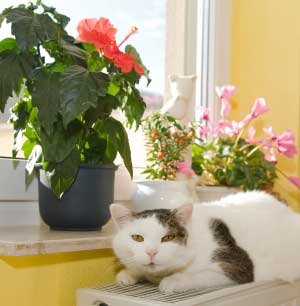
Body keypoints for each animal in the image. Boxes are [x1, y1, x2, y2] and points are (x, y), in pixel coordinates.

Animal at [109, 191, 300, 294]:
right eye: (137, 238)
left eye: (168, 238)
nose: (151, 252)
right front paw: (128, 274)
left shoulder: (238, 266)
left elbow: (199, 275)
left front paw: (174, 281)